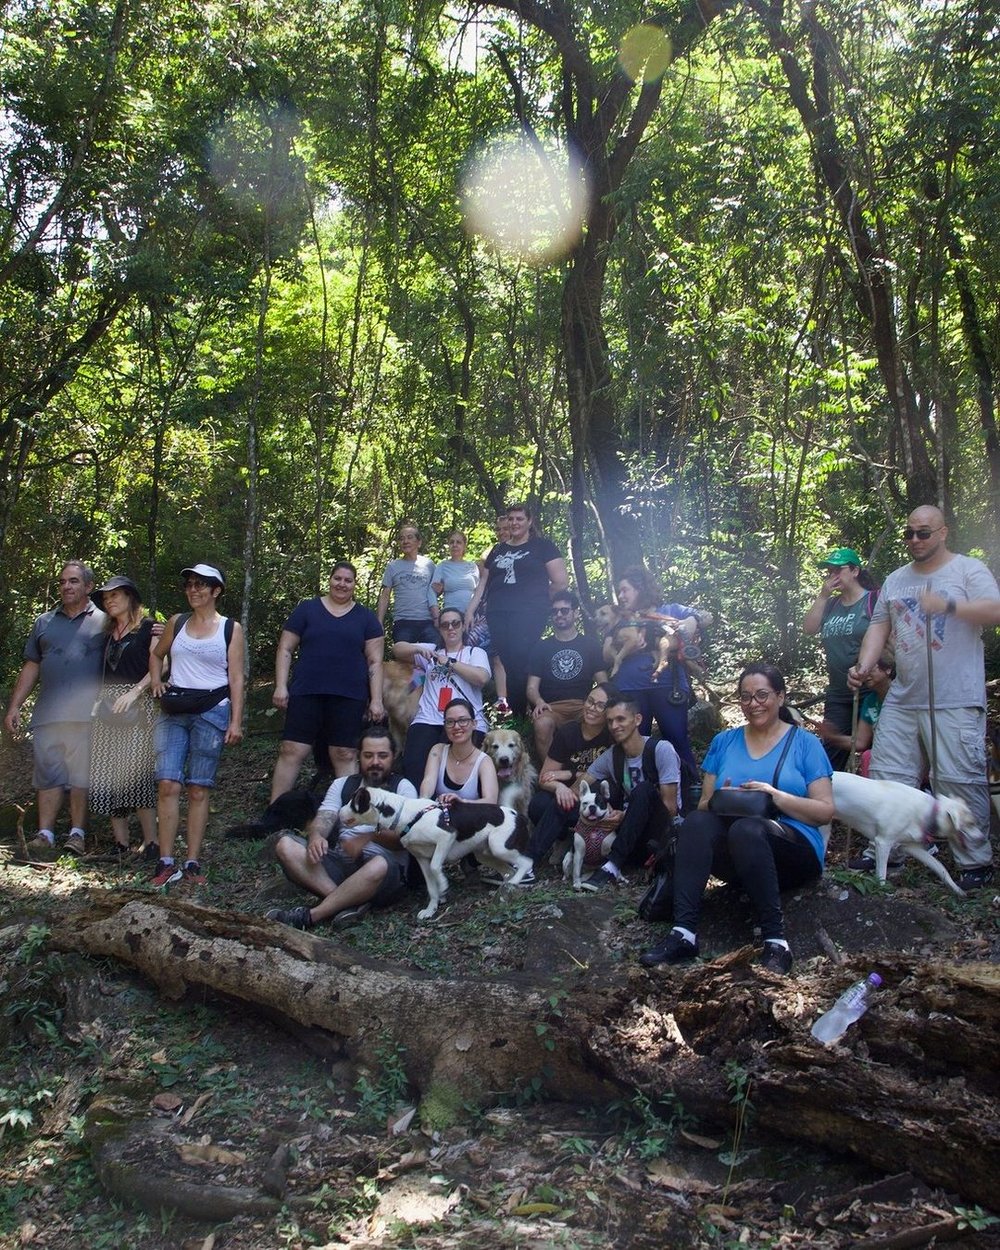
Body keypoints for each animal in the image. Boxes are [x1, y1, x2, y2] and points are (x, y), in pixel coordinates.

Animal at [340, 790, 535, 920]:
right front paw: (431, 909)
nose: (339, 811)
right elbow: (430, 886)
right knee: (509, 871)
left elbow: (436, 868)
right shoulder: (421, 858)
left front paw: (443, 885)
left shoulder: (446, 837)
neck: (403, 814)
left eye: (352, 802)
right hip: (485, 854)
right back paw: (505, 890)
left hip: (499, 847)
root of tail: (517, 815)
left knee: (526, 863)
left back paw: (513, 884)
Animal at [830, 770, 985, 900]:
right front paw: (882, 890)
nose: (982, 838)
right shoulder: (883, 842)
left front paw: (957, 889)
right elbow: (882, 873)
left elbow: (940, 867)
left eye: (975, 822)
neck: (929, 813)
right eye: (970, 824)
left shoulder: (910, 847)